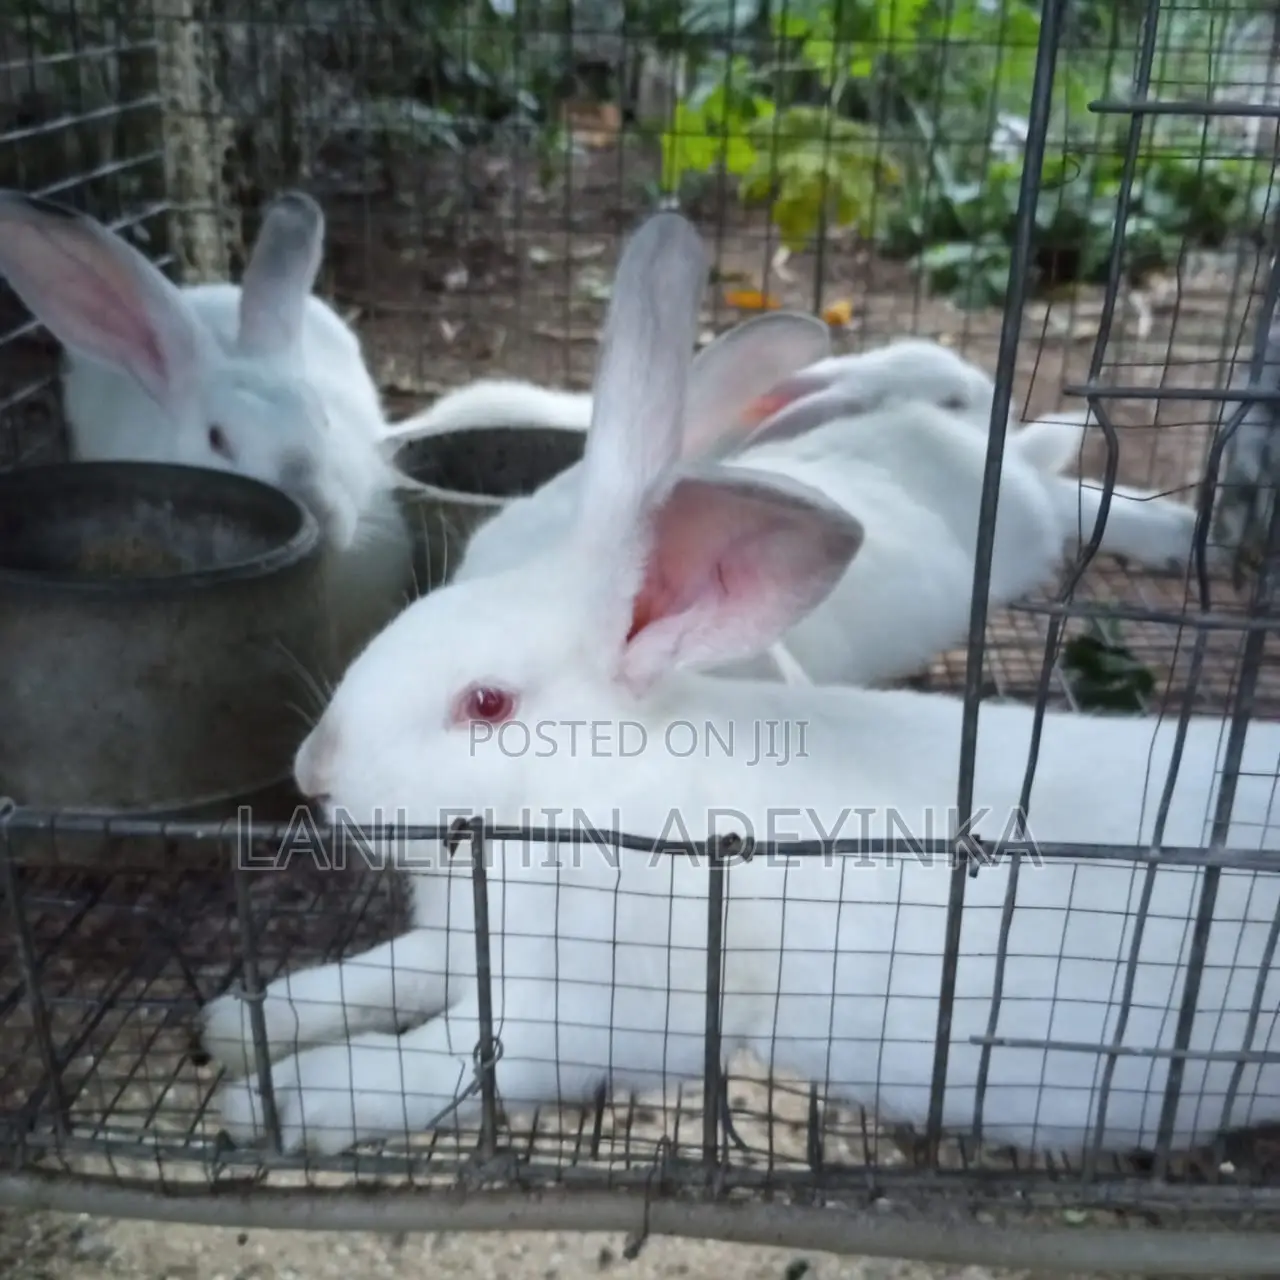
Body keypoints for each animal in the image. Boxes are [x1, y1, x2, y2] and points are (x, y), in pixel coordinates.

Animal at [200, 210, 1280, 1162]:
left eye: (487, 704)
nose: (314, 771)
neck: (597, 799)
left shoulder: (591, 1015)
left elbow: (453, 1053)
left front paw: (286, 1099)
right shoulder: (468, 944)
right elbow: (383, 975)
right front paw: (245, 1019)